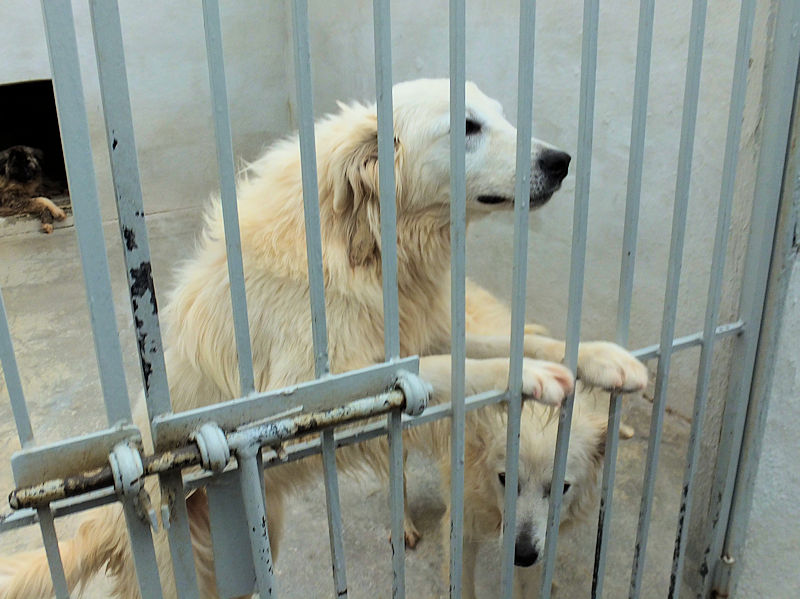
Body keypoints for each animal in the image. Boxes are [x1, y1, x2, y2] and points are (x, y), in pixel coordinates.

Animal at [0, 79, 647, 598]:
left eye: (499, 114)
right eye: (467, 126)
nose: (562, 160)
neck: (365, 241)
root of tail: (101, 524)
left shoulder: (429, 327)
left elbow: (511, 343)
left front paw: (605, 359)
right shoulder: (309, 392)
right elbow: (441, 371)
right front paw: (532, 378)